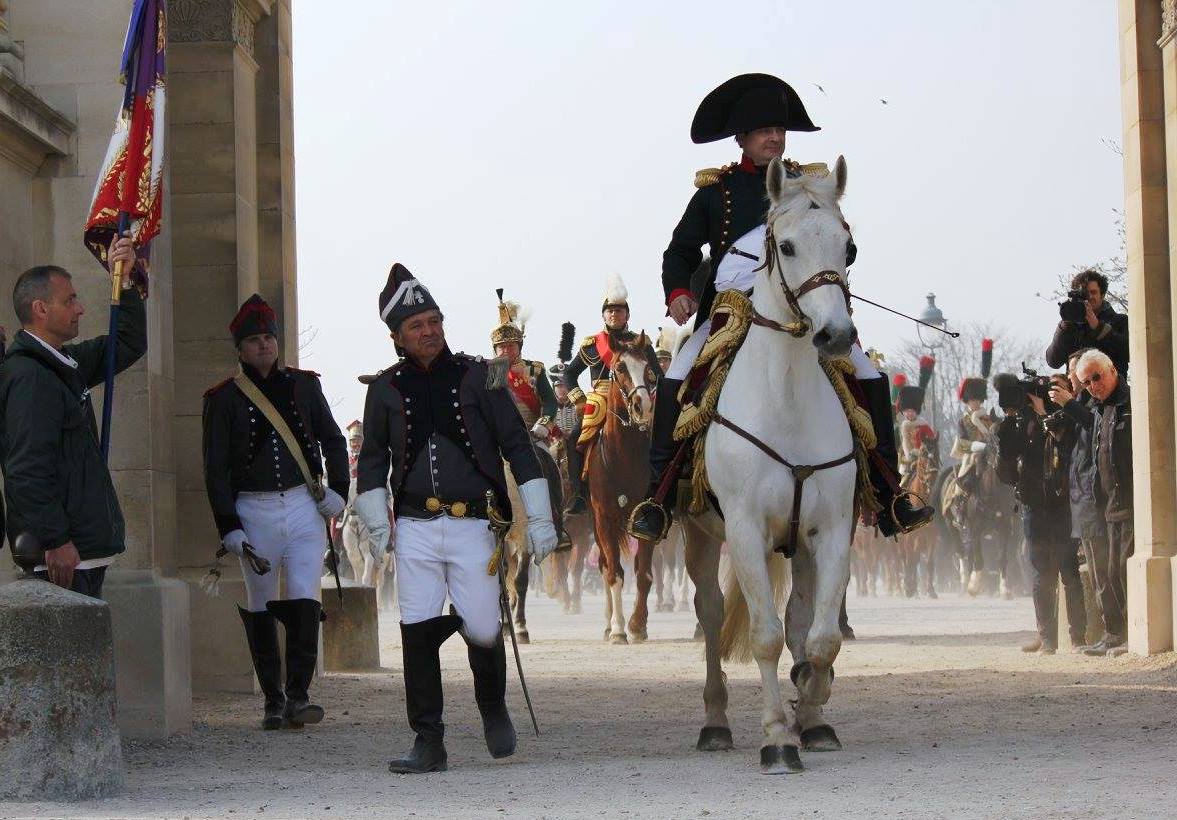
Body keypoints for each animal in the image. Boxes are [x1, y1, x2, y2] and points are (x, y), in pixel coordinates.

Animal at [682, 155, 856, 771]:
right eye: (786, 245)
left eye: (848, 247)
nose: (836, 335)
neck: (787, 400)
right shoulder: (746, 530)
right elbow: (764, 635)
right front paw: (778, 735)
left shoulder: (830, 531)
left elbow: (821, 638)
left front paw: (812, 705)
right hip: (700, 536)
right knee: (711, 614)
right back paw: (713, 723)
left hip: (798, 545)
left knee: (802, 618)